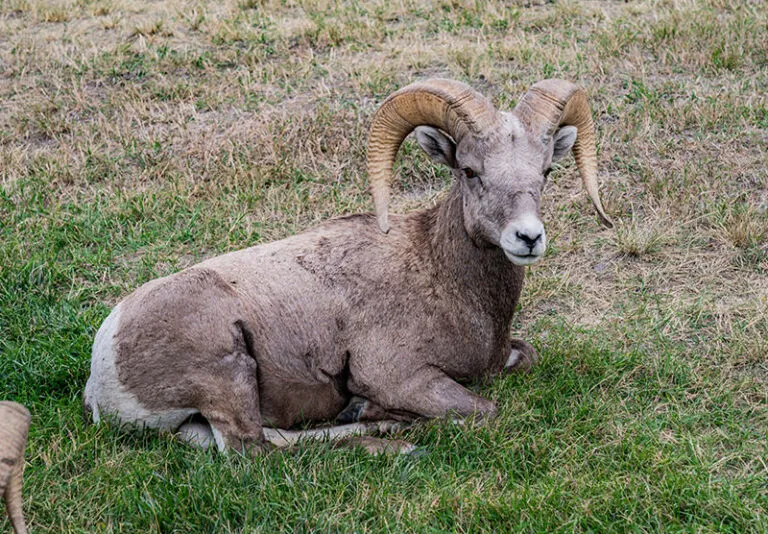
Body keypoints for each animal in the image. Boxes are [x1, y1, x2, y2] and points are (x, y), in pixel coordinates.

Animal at [83, 78, 612, 455]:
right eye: (469, 170)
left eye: (545, 171)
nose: (528, 237)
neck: (441, 277)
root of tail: (101, 374)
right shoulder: (399, 374)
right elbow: (484, 409)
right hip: (227, 370)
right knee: (253, 453)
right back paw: (394, 442)